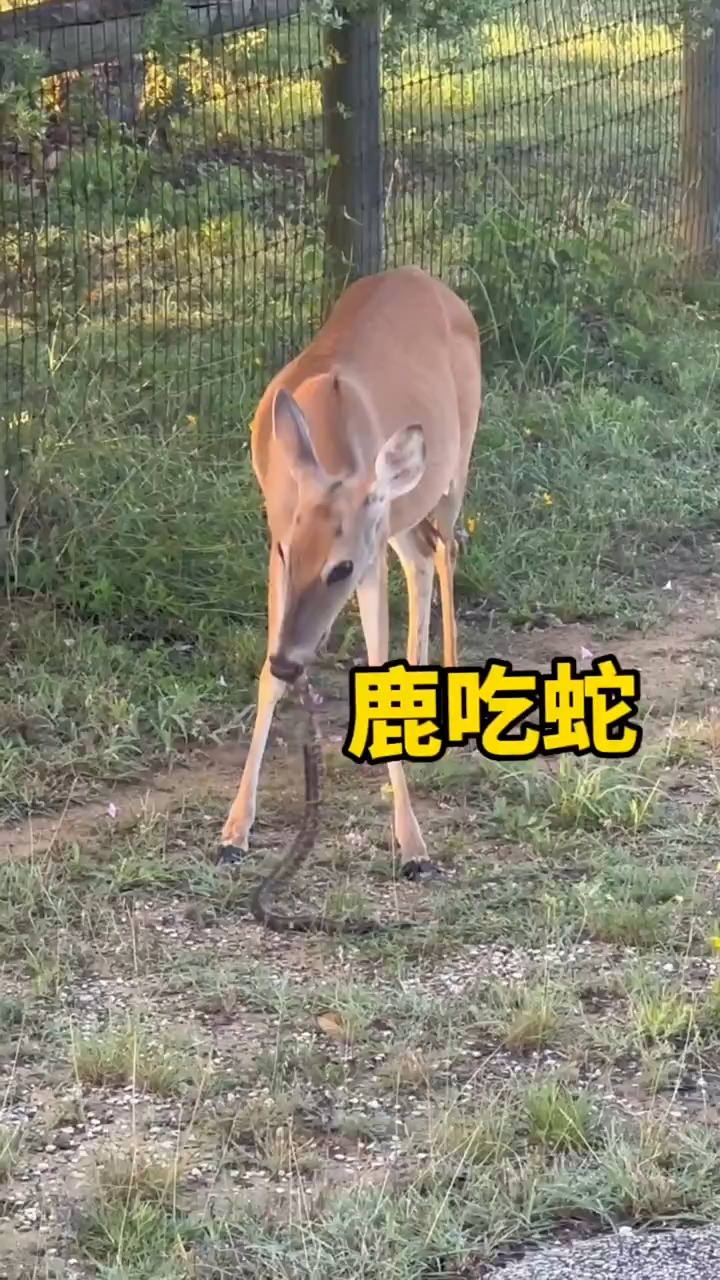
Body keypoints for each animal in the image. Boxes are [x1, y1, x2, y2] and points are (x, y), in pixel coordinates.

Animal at [215, 264, 479, 885]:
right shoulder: (278, 537)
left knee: (447, 549)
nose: (292, 661)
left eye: (341, 566)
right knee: (424, 556)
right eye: (289, 552)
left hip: (454, 468)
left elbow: (376, 656)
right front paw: (234, 831)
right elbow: (265, 675)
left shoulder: (369, 553)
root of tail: (430, 280)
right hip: (402, 515)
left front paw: (413, 846)